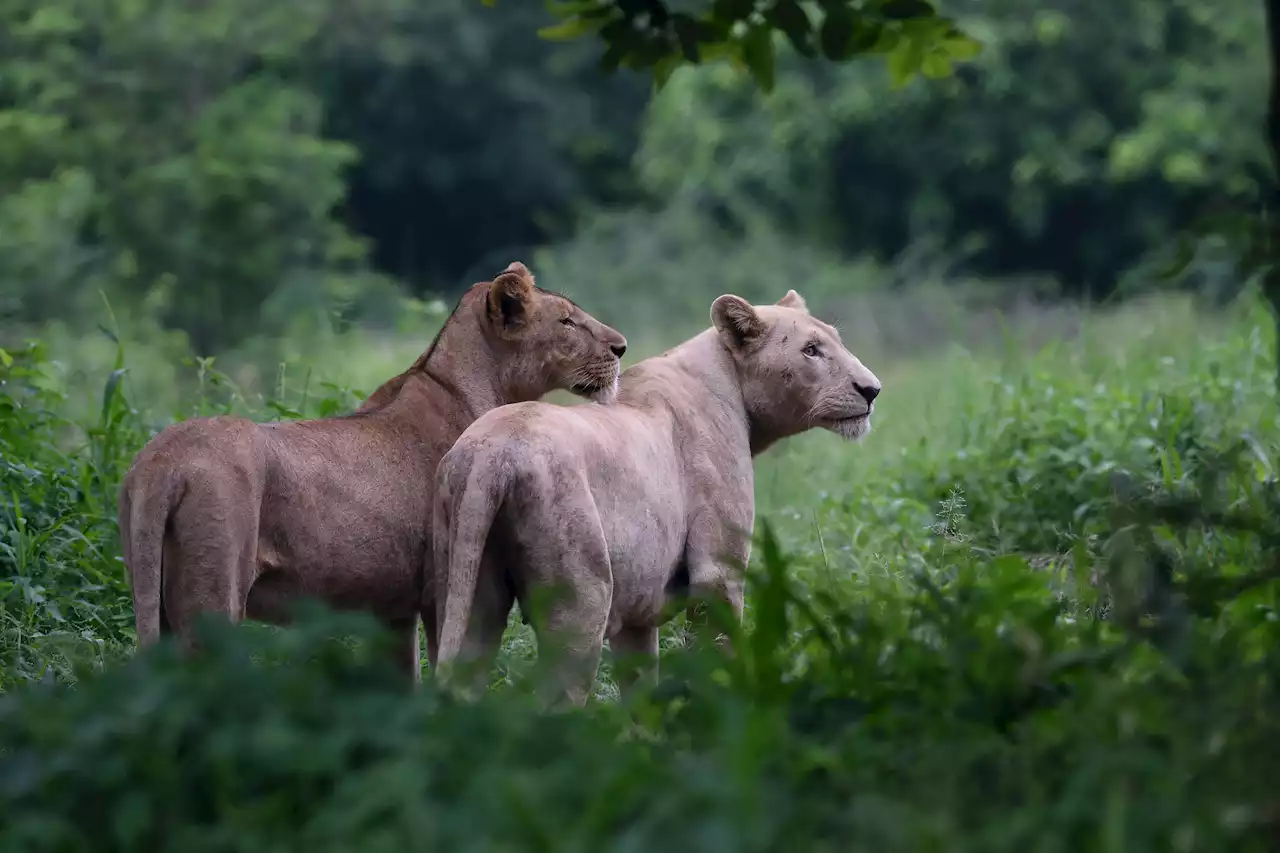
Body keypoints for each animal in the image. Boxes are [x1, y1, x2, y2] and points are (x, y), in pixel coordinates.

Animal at [117, 262, 627, 676]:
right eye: (566, 321)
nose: (622, 347)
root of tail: (160, 462)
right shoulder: (443, 590)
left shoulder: (392, 610)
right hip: (215, 595)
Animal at [430, 289, 880, 701]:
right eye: (811, 350)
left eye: (835, 341)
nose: (871, 389)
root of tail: (491, 455)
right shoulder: (718, 572)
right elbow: (717, 656)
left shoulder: (637, 609)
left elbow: (642, 689)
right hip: (581, 597)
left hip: (469, 586)